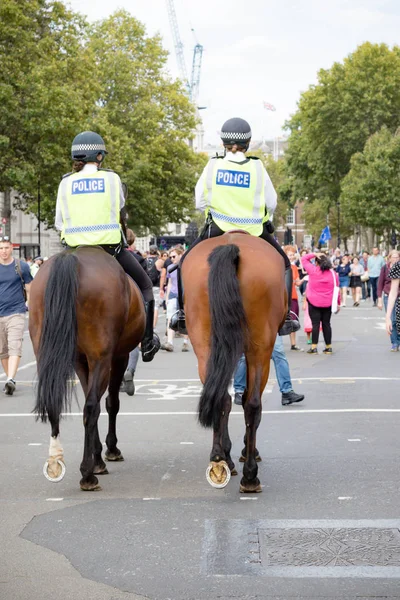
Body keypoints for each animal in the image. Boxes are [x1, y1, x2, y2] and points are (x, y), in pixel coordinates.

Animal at [29, 246, 145, 490]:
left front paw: (98, 457)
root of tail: (71, 260)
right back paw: (87, 474)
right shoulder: (117, 357)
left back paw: (56, 460)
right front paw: (108, 451)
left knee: (61, 403)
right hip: (101, 357)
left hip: (48, 353)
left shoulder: (80, 361)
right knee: (92, 407)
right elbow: (111, 403)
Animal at [183, 233, 286, 492]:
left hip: (205, 346)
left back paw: (218, 459)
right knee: (253, 404)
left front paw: (226, 455)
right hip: (261, 348)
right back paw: (250, 474)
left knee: (220, 397)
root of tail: (230, 246)